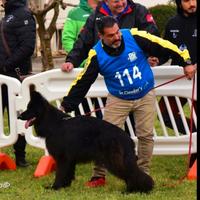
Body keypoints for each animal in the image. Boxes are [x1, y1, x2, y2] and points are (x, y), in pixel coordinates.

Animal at [17, 91, 155, 193]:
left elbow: (60, 173)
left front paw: (55, 187)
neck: (54, 123)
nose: (19, 116)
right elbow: (67, 174)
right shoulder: (69, 160)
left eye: (30, 108)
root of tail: (126, 137)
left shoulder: (63, 158)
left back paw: (132, 190)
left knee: (131, 173)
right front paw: (64, 187)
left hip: (113, 161)